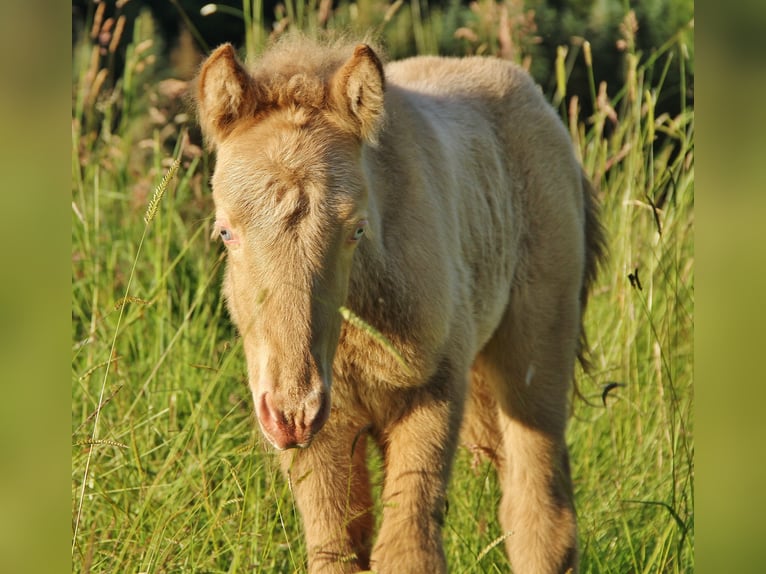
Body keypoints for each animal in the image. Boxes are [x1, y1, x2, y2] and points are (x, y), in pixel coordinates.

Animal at [195, 35, 605, 574]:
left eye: (356, 229)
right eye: (225, 231)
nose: (292, 413)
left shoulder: (430, 393)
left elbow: (407, 550)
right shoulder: (326, 431)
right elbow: (337, 551)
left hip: (535, 351)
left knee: (538, 513)